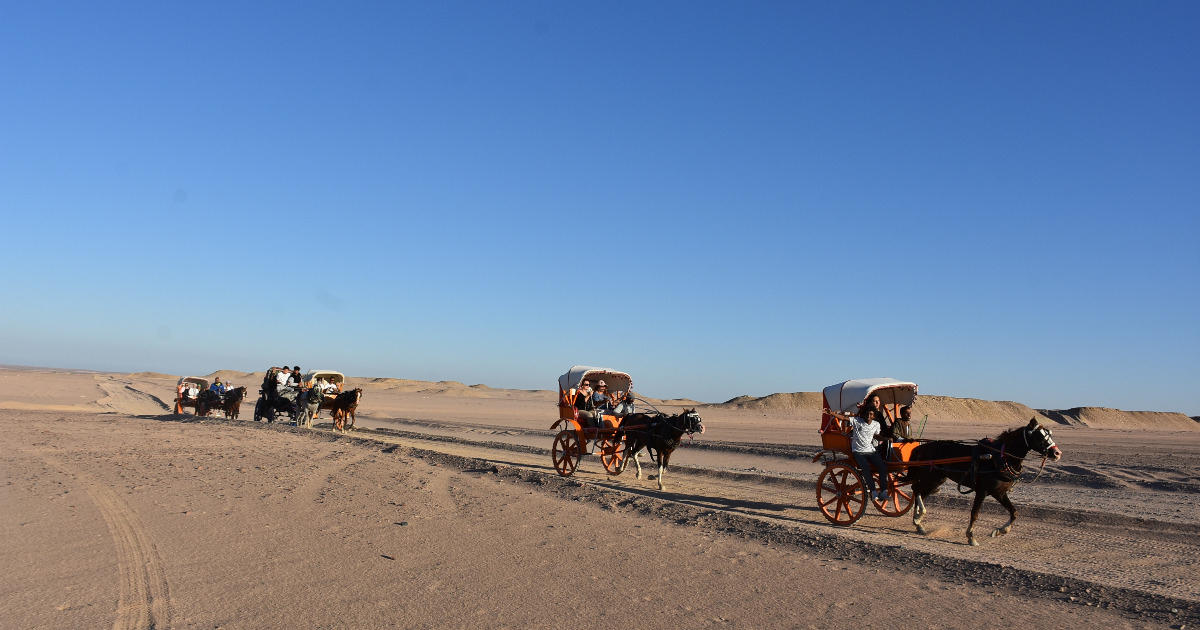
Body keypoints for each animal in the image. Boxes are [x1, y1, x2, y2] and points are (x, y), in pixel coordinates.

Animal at [902, 417, 1065, 544]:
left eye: (1049, 434)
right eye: (1039, 436)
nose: (1057, 453)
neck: (998, 458)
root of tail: (921, 447)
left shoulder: (999, 492)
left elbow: (1014, 512)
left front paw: (999, 531)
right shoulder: (982, 490)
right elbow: (975, 513)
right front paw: (971, 537)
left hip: (937, 479)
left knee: (920, 492)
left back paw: (918, 522)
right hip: (929, 476)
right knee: (916, 489)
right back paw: (919, 517)